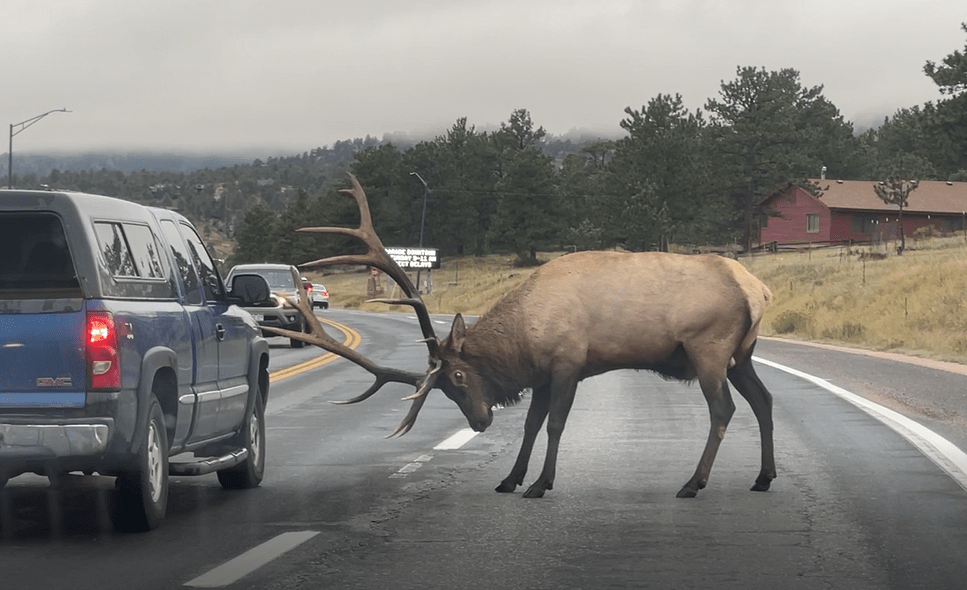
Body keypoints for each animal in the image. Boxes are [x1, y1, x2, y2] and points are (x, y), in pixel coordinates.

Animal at [266, 175, 780, 500]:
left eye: (457, 375)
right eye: (443, 388)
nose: (479, 422)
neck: (524, 337)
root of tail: (758, 290)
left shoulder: (569, 362)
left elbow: (554, 425)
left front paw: (539, 484)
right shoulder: (543, 375)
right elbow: (532, 424)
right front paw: (509, 479)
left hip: (709, 348)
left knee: (724, 409)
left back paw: (693, 483)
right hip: (742, 354)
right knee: (764, 400)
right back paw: (763, 477)